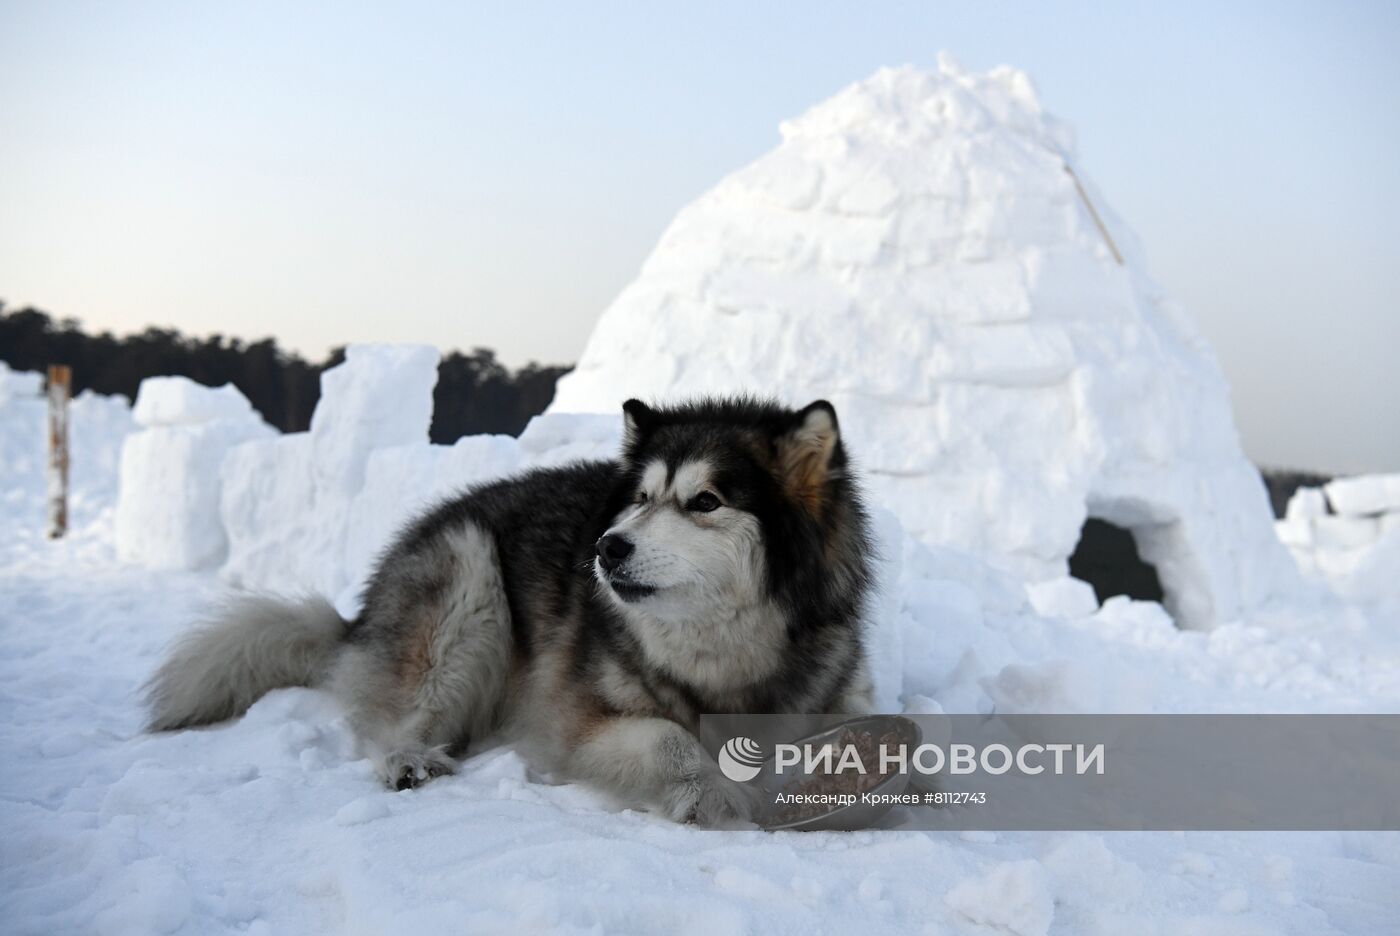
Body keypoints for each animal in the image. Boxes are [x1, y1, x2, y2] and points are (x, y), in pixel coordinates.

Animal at [150, 397, 873, 822]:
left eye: (705, 501)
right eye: (641, 497)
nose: (606, 547)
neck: (721, 655)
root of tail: (359, 615)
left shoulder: (839, 688)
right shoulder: (574, 720)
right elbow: (668, 739)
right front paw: (716, 791)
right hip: (469, 581)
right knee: (393, 717)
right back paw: (409, 759)